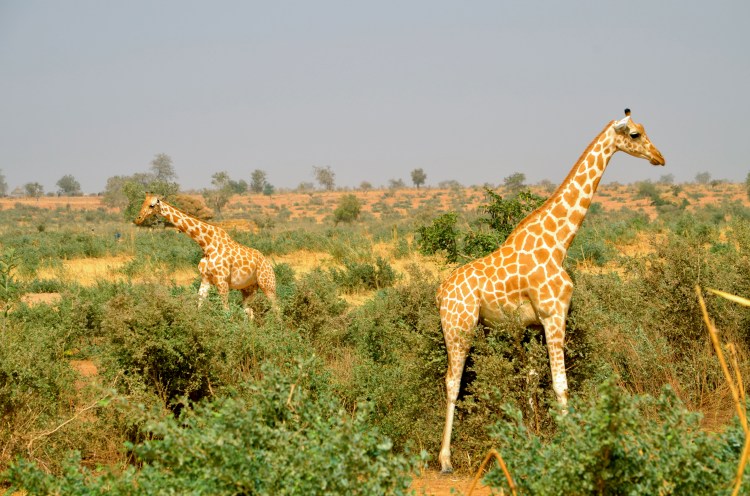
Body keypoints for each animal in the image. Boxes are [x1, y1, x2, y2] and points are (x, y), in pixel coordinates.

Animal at [134, 194, 278, 319]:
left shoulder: (222, 280)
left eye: (152, 205)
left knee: (276, 307)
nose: (138, 218)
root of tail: (268, 263)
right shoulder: (205, 279)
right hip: (249, 289)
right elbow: (199, 305)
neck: (207, 244)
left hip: (267, 284)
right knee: (249, 310)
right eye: (143, 203)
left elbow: (226, 310)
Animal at [436, 109, 665, 473]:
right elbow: (560, 384)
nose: (659, 157)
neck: (559, 243)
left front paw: (534, 434)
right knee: (452, 382)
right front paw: (570, 443)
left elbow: (531, 381)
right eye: (634, 135)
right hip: (459, 327)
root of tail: (440, 293)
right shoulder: (554, 314)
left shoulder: (531, 325)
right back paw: (445, 459)